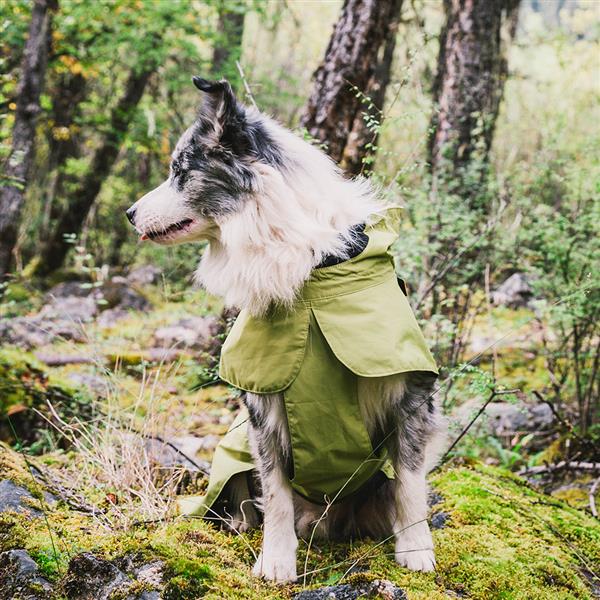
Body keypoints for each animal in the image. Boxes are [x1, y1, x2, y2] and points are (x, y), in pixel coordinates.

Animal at [126, 77, 446, 584]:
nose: (129, 213)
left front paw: (415, 550)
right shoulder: (264, 404)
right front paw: (276, 560)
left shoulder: (409, 391)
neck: (309, 269)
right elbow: (275, 493)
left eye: (179, 172)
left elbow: (410, 483)